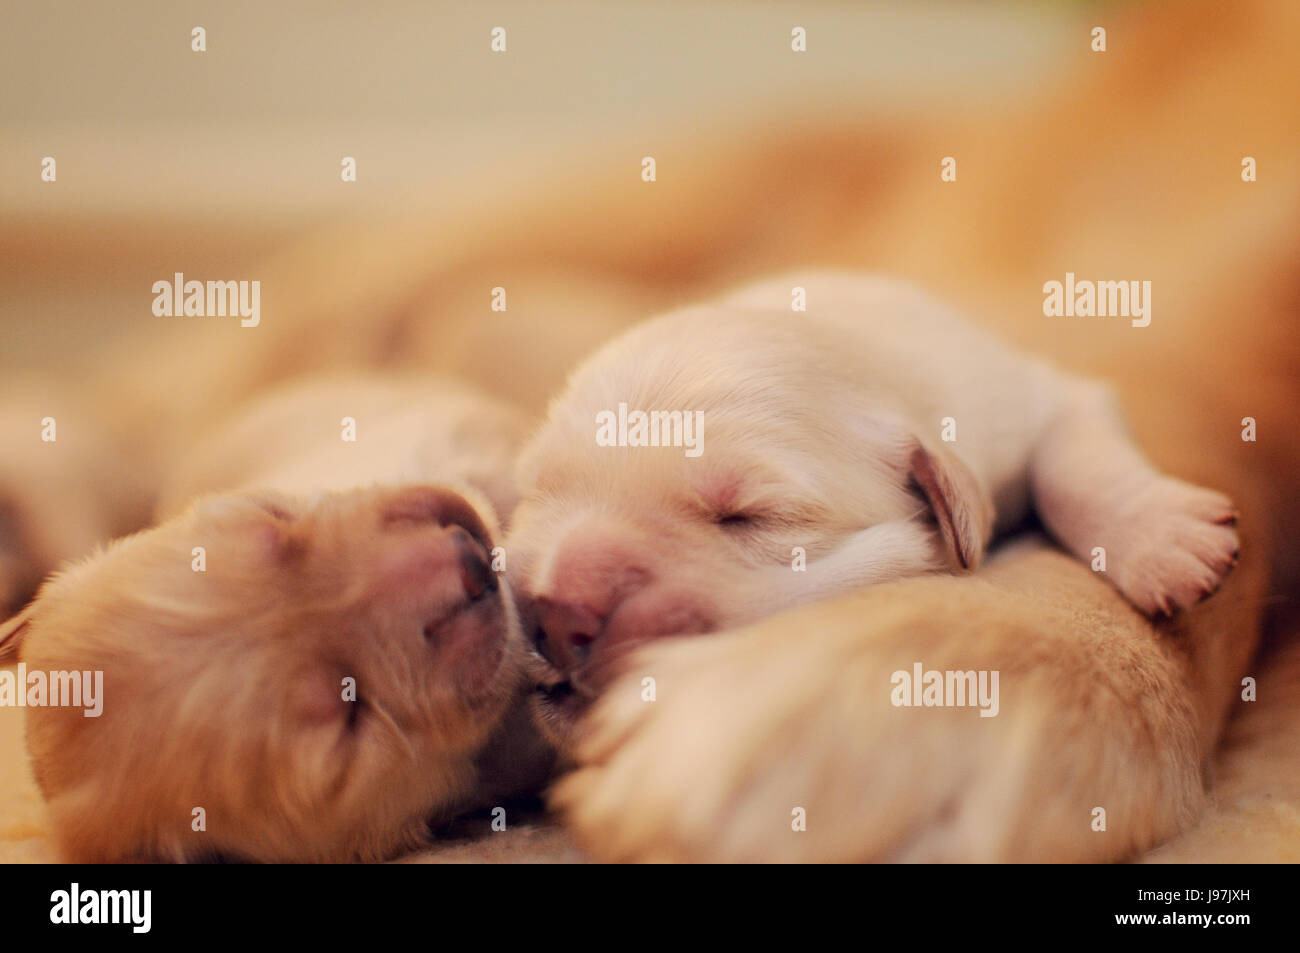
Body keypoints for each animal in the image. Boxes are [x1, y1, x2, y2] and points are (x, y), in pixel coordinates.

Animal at [506, 271, 1237, 738]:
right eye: (536, 497)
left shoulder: (1033, 394)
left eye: (751, 517)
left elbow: (1076, 464)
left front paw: (1168, 539)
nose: (554, 614)